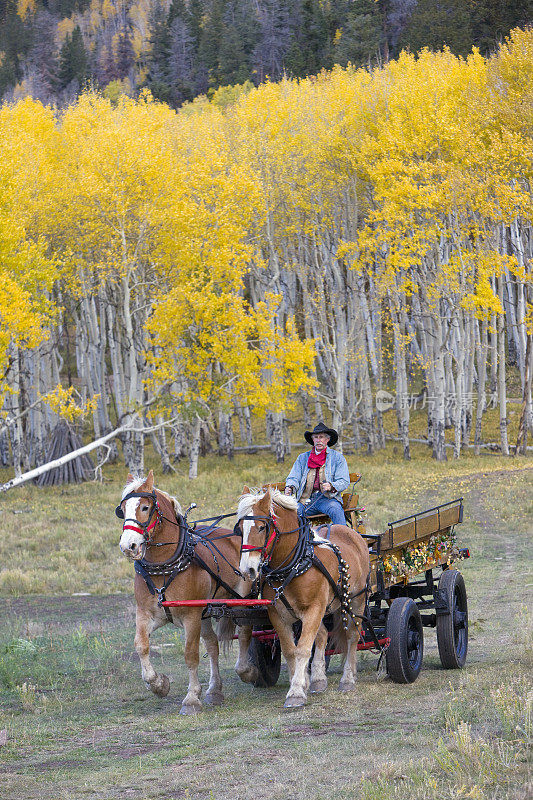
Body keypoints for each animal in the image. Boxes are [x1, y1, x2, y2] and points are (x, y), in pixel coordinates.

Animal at [117, 468, 258, 712]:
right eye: (123, 509)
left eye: (145, 507)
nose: (128, 546)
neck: (165, 566)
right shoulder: (147, 613)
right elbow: (141, 646)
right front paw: (158, 684)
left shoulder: (191, 616)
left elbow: (190, 654)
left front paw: (191, 698)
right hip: (206, 611)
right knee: (212, 644)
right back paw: (215, 689)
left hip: (242, 601)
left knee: (245, 633)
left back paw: (246, 670)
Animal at [238, 484, 370, 708]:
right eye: (240, 529)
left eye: (262, 527)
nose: (248, 570)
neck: (295, 563)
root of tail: (350, 532)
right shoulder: (278, 615)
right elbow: (290, 649)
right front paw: (301, 682)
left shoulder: (313, 609)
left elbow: (303, 649)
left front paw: (296, 692)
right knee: (324, 634)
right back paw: (319, 679)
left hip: (355, 600)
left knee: (352, 636)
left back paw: (348, 678)